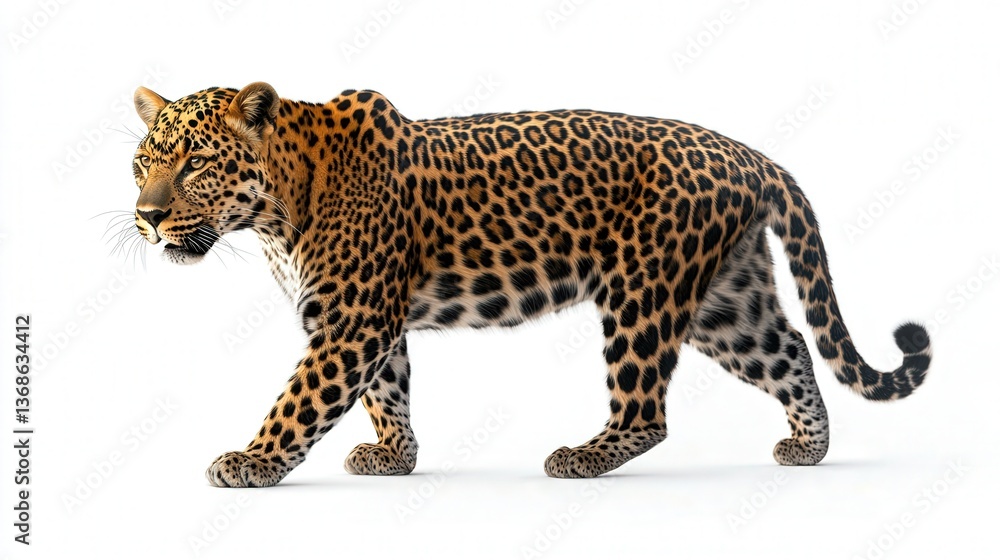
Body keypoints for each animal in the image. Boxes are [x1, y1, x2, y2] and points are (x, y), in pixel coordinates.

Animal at [128, 82, 932, 487]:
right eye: (143, 163)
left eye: (196, 162)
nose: (147, 216)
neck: (275, 209)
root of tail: (749, 154)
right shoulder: (362, 316)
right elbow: (388, 389)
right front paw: (395, 457)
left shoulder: (353, 318)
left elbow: (301, 399)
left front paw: (253, 461)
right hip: (723, 299)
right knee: (789, 346)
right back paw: (809, 447)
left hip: (645, 289)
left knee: (647, 410)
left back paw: (583, 457)